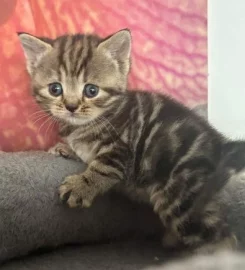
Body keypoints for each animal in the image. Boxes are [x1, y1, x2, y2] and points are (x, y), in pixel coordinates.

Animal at [19, 30, 239, 254]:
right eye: (55, 89)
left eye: (91, 91)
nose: (71, 107)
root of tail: (220, 145)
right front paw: (66, 148)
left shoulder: (123, 148)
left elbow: (102, 168)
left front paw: (81, 186)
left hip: (181, 198)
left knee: (220, 236)